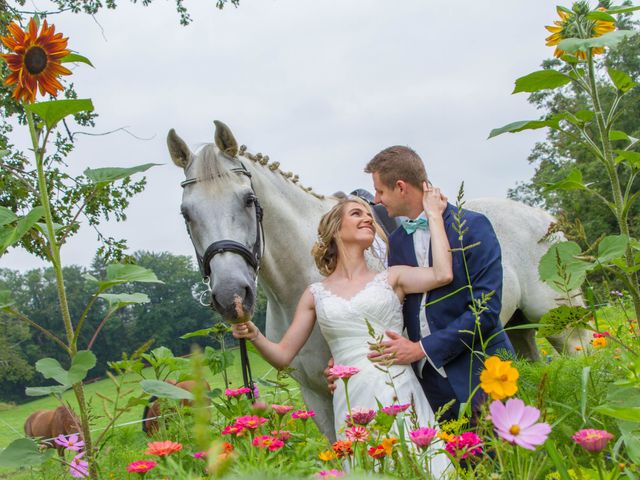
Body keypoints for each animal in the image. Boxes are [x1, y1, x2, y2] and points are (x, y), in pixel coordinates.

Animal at [169, 122, 592, 440]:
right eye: (186, 214)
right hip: (519, 329)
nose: (231, 296)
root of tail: (545, 218)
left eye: (246, 200)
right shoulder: (315, 395)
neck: (304, 279)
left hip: (563, 324)